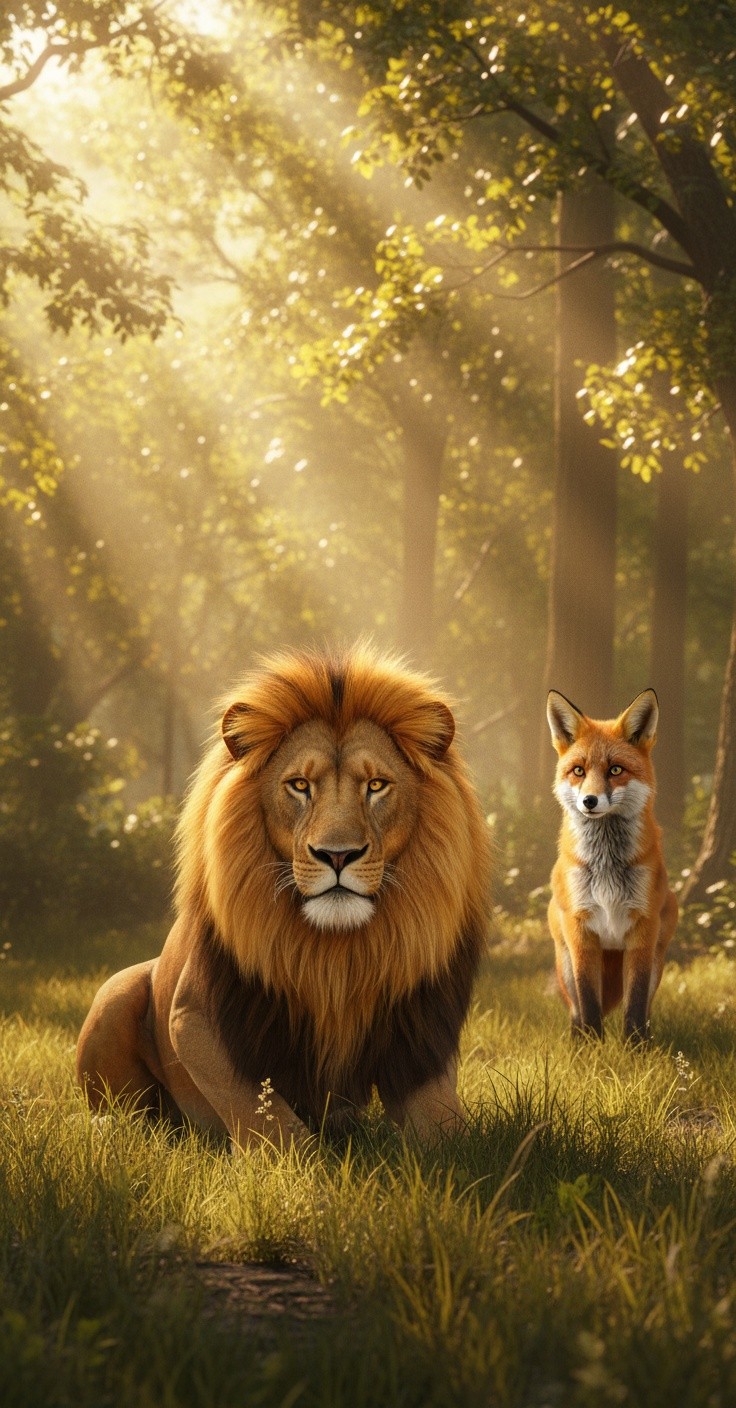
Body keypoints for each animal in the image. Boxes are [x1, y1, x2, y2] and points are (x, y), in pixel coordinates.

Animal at [76, 643, 492, 1148]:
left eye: (376, 785)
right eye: (299, 785)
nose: (338, 854)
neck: (338, 956)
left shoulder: (422, 1029)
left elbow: (447, 1129)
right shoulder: (195, 1016)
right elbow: (268, 1117)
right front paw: (302, 1162)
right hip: (117, 990)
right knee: (124, 1109)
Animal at [546, 688, 678, 1043]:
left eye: (615, 770)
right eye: (579, 771)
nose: (589, 801)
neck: (606, 866)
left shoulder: (643, 929)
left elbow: (634, 1003)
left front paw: (635, 1048)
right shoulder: (580, 931)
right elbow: (589, 1002)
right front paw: (592, 1048)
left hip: (659, 957)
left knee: (646, 1005)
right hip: (564, 960)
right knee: (574, 1008)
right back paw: (576, 1040)